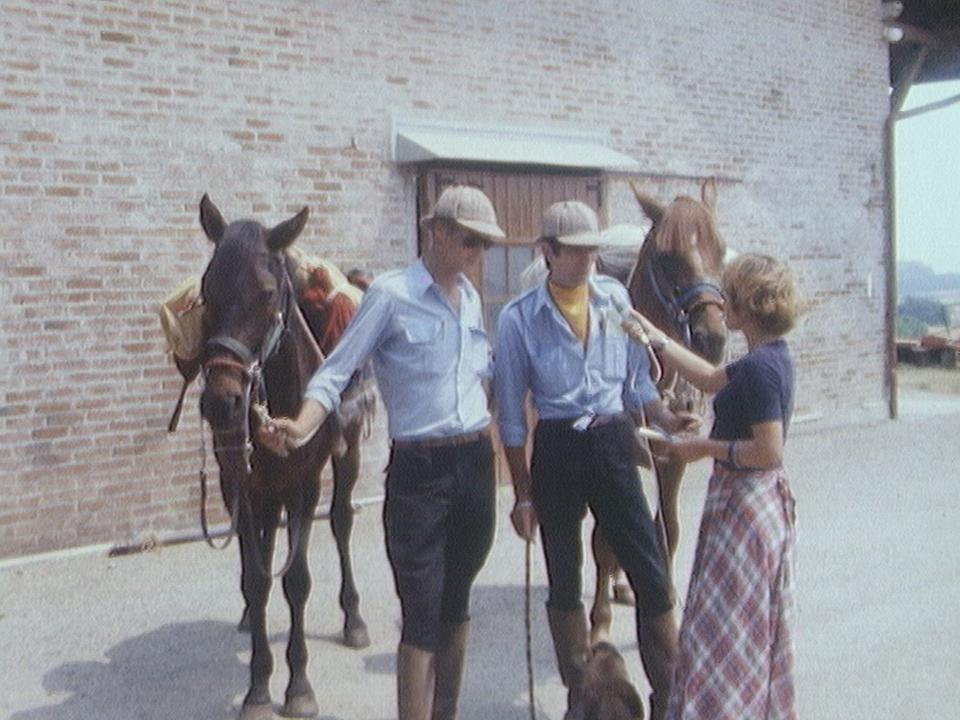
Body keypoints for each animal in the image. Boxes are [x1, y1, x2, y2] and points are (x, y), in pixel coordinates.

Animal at [197, 195, 370, 720]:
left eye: (268, 292)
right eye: (206, 290)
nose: (222, 402)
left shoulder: (303, 484)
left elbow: (296, 579)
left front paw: (297, 687)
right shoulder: (238, 481)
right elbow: (257, 577)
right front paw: (258, 686)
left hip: (347, 456)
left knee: (341, 521)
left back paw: (354, 619)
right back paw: (243, 617)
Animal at [584, 177, 728, 644]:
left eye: (721, 249)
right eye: (667, 257)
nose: (711, 338)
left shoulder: (673, 459)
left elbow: (667, 531)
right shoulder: (614, 460)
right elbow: (605, 541)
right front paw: (599, 625)